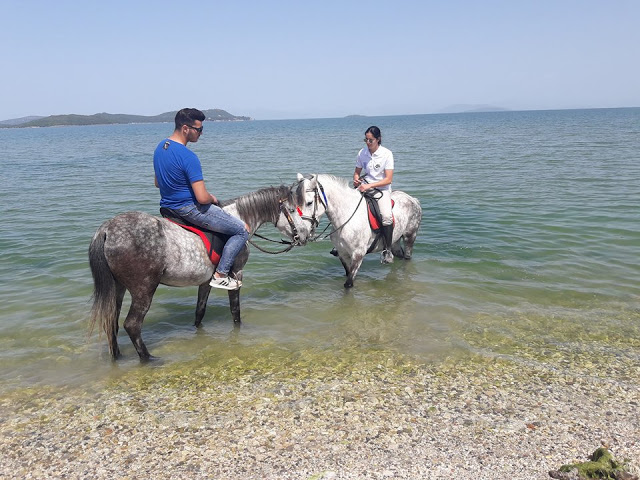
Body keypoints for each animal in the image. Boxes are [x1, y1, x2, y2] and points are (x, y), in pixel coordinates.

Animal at [89, 184, 304, 360]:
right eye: (294, 209)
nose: (303, 236)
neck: (240, 219)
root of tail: (107, 229)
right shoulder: (237, 274)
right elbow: (235, 310)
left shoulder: (205, 281)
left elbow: (200, 311)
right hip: (144, 289)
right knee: (132, 325)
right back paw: (148, 359)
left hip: (118, 287)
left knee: (112, 322)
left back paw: (117, 357)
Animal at [288, 175, 420, 288]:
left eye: (309, 203)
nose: (300, 231)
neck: (346, 217)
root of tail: (412, 199)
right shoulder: (342, 253)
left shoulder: (358, 254)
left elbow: (348, 284)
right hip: (394, 241)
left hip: (410, 236)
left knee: (407, 258)